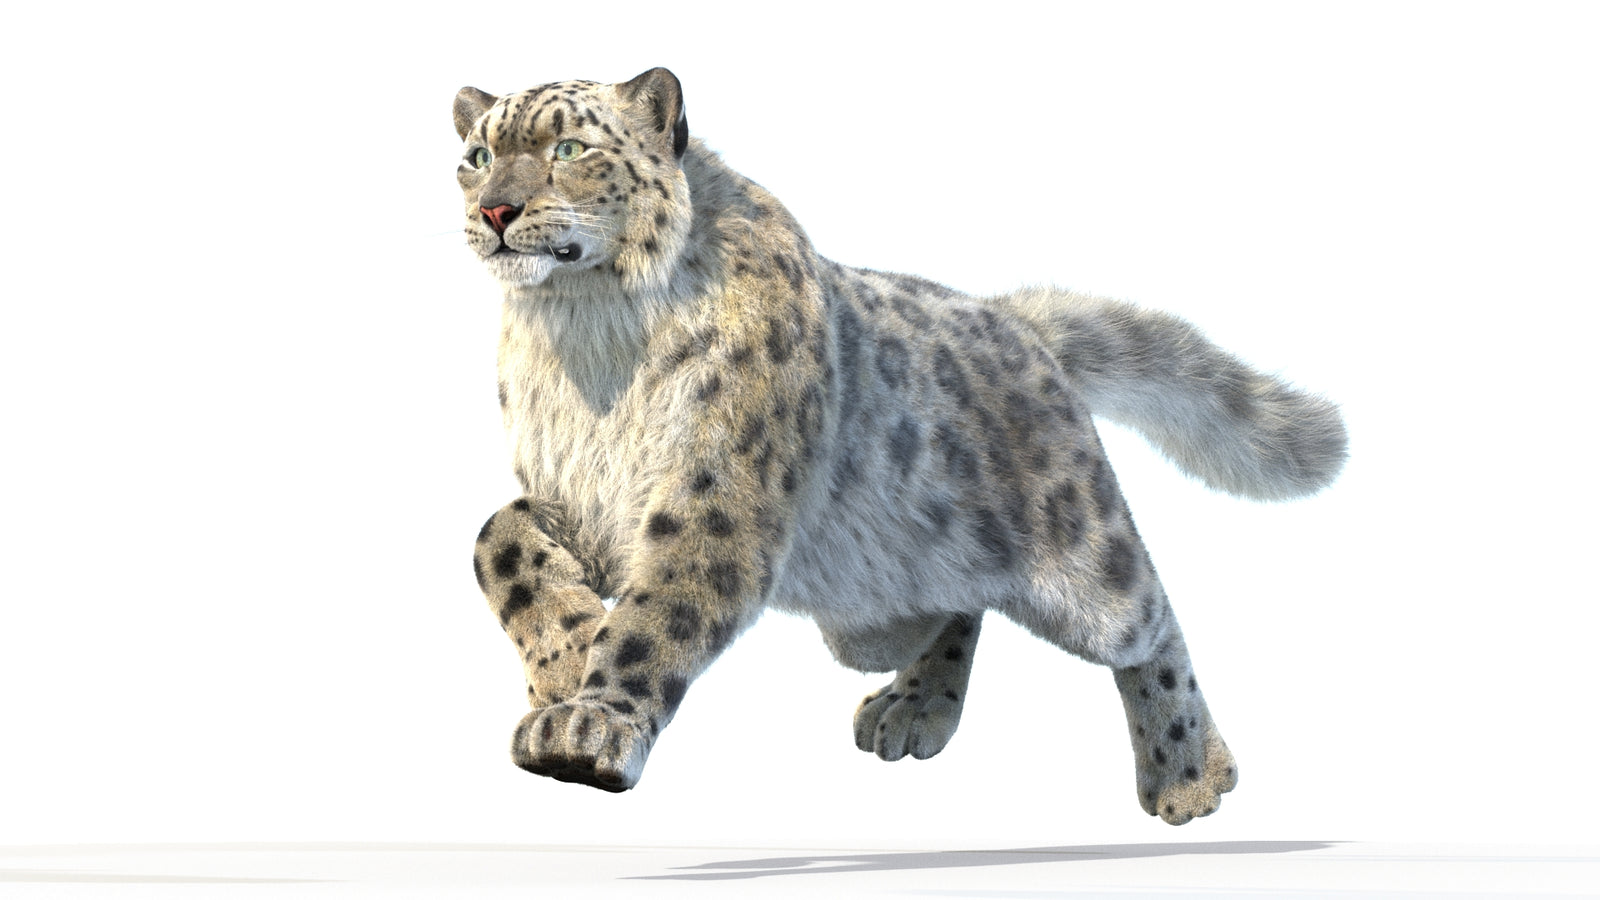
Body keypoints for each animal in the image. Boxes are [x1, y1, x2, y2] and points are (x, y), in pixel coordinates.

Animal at [453, 67, 1346, 825]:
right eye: (478, 156)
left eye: (569, 149)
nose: (495, 210)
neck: (588, 340)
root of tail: (1016, 323)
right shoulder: (583, 502)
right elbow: (498, 537)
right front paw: (567, 656)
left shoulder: (714, 494)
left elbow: (653, 618)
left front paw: (589, 726)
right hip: (871, 615)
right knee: (956, 605)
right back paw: (914, 708)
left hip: (1087, 561)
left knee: (1153, 618)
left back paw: (1190, 773)